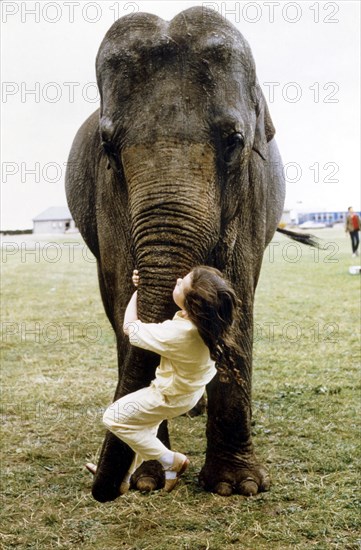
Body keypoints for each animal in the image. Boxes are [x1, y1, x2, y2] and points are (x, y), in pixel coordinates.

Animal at [64, 5, 310, 504]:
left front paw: (236, 487)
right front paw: (147, 481)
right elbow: (123, 304)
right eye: (108, 147)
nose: (105, 489)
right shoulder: (107, 194)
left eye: (235, 140)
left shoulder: (252, 188)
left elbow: (237, 297)